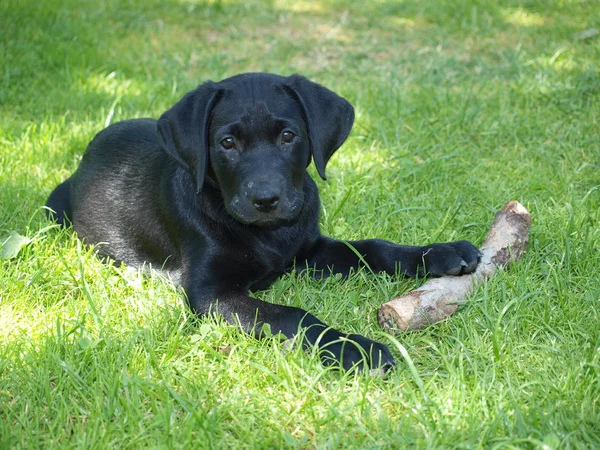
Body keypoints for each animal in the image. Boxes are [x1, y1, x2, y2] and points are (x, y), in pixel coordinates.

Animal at [45, 72, 478, 370]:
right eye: (227, 143)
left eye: (288, 136)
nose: (266, 200)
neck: (268, 234)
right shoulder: (211, 294)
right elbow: (293, 315)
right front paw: (355, 347)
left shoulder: (309, 249)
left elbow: (373, 248)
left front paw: (440, 252)